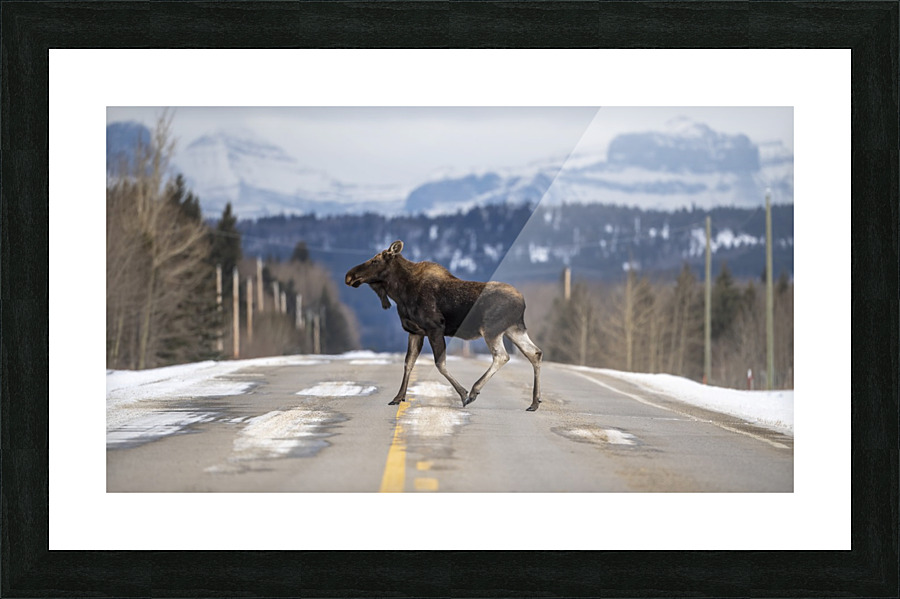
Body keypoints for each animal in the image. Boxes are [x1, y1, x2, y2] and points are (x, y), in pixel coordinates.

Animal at [345, 240, 543, 411]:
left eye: (375, 260)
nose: (349, 276)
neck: (400, 293)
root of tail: (523, 302)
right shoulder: (415, 332)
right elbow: (408, 363)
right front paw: (398, 397)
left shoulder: (435, 328)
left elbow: (440, 364)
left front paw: (463, 394)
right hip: (514, 329)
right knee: (535, 353)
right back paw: (534, 402)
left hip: (492, 329)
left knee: (502, 356)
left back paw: (474, 390)